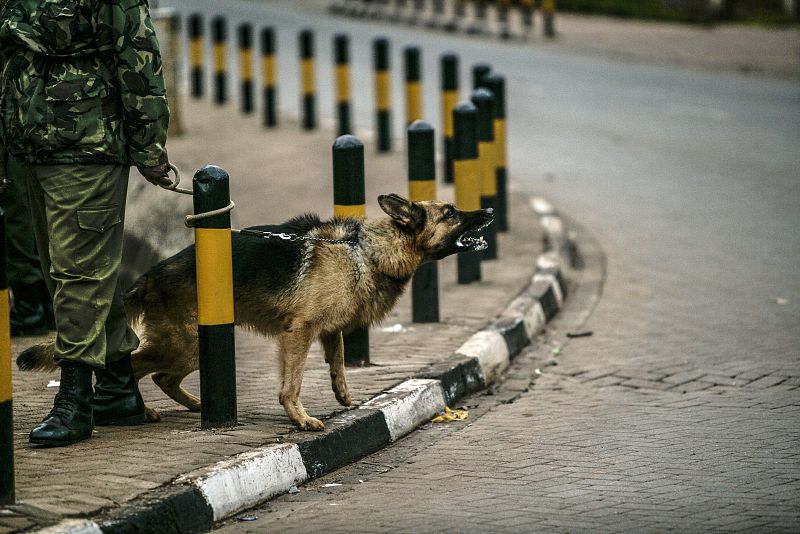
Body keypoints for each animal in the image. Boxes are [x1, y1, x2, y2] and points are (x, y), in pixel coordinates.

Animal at [17, 196, 494, 432]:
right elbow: (292, 384)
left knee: (161, 377)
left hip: (190, 347)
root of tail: (149, 275)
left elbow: (338, 363)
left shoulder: (326, 331)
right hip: (185, 343)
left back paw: (193, 404)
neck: (366, 249)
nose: (488, 210)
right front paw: (299, 418)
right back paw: (136, 410)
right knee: (135, 366)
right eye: (451, 212)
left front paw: (344, 398)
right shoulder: (298, 333)